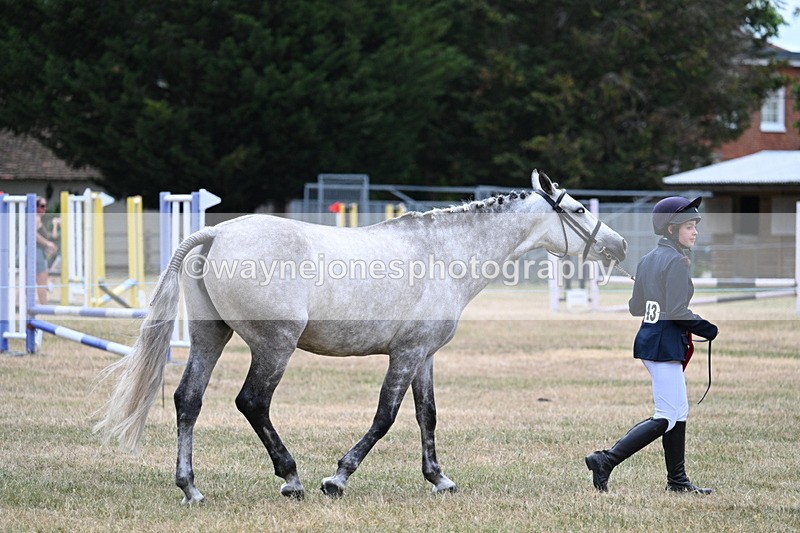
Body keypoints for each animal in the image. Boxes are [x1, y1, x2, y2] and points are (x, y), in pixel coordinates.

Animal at [95, 170, 627, 504]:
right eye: (578, 208)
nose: (618, 245)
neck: (444, 252)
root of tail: (218, 235)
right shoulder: (405, 355)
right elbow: (385, 417)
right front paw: (338, 477)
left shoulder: (423, 356)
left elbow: (427, 415)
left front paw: (438, 479)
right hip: (274, 346)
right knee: (253, 403)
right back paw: (291, 478)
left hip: (211, 338)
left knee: (188, 400)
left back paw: (191, 487)